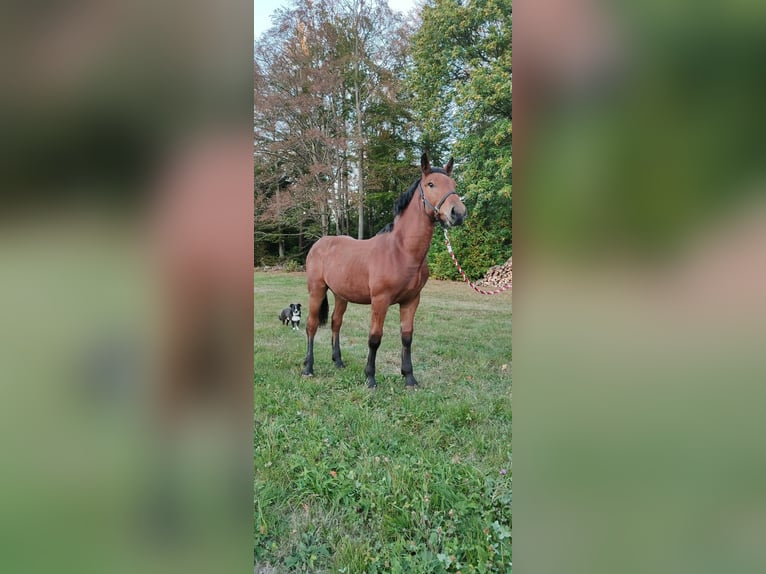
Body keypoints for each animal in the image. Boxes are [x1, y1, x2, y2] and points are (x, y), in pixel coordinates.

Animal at [302, 153, 467, 388]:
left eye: (453, 184)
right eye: (431, 184)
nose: (458, 213)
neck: (401, 251)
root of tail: (319, 243)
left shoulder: (411, 301)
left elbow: (407, 337)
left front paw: (409, 378)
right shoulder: (380, 301)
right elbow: (375, 338)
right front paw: (370, 378)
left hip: (341, 295)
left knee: (336, 323)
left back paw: (338, 361)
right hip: (316, 290)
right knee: (312, 325)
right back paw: (308, 367)